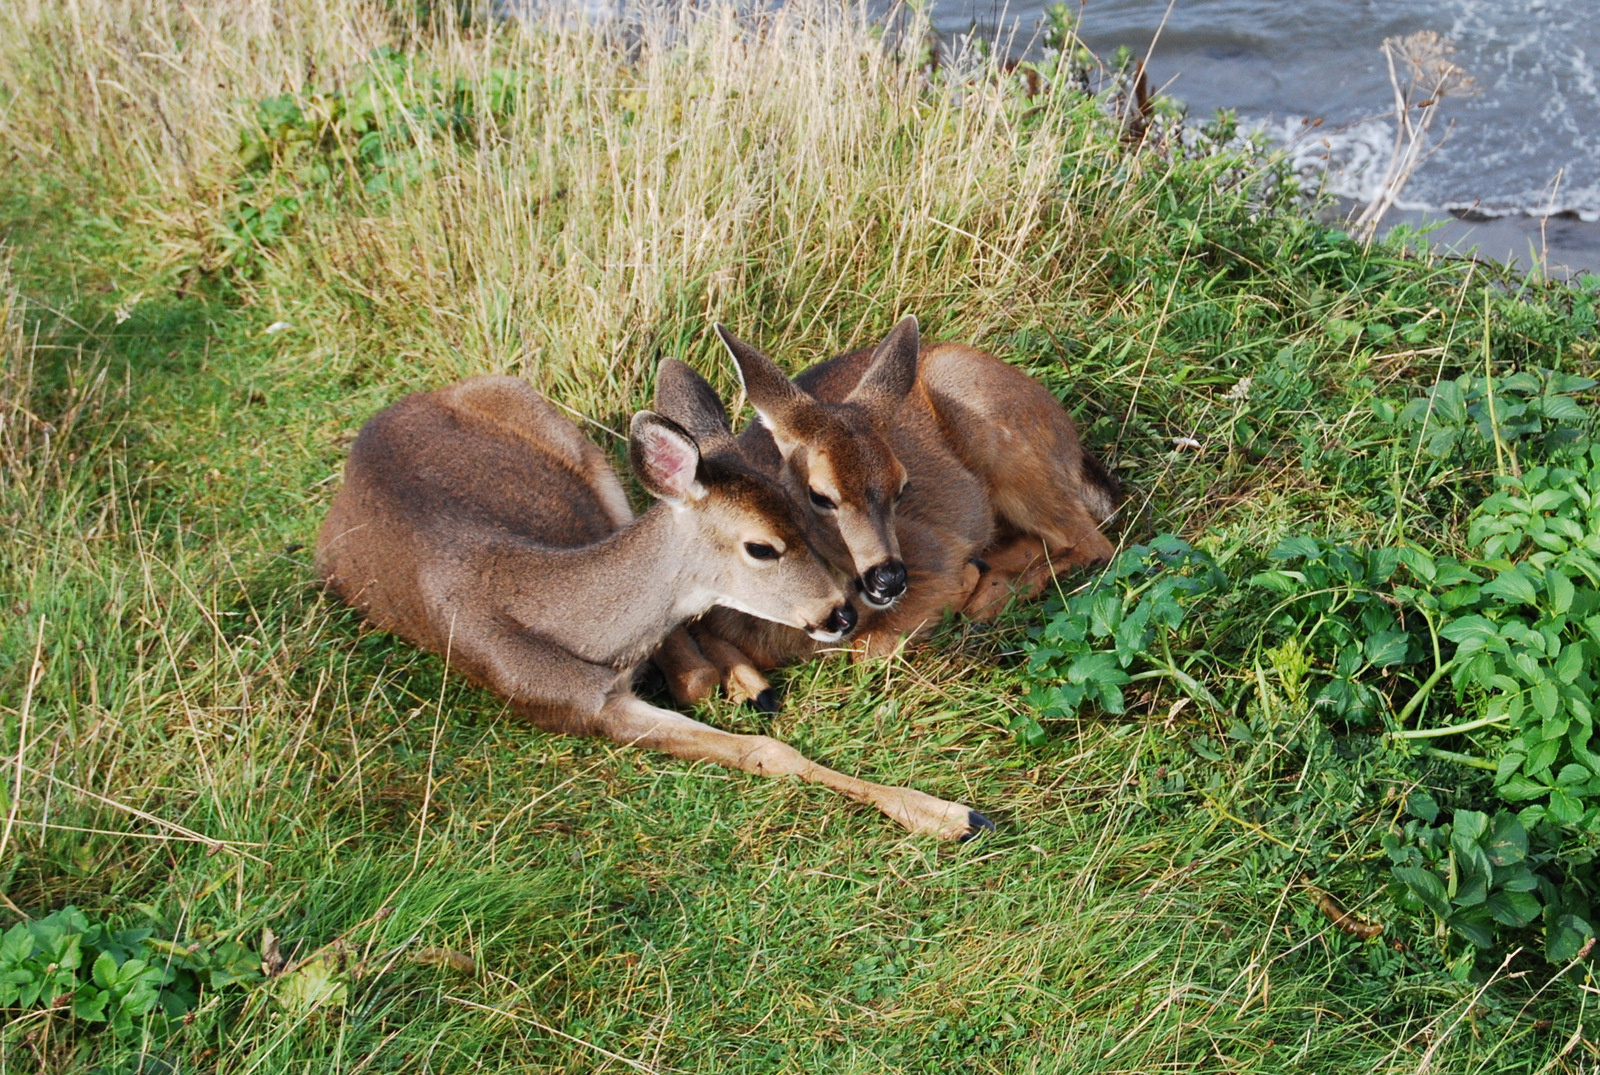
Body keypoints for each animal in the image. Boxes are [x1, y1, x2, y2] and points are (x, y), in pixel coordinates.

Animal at [318, 367, 992, 838]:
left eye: (809, 510)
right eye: (762, 547)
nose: (843, 613)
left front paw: (952, 814)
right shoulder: (581, 709)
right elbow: (763, 751)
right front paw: (949, 816)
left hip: (580, 449)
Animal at [656, 315, 1120, 710]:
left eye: (902, 486)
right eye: (819, 495)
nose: (890, 577)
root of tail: (1070, 440)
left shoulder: (936, 550)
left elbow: (868, 648)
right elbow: (695, 671)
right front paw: (751, 688)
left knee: (1094, 542)